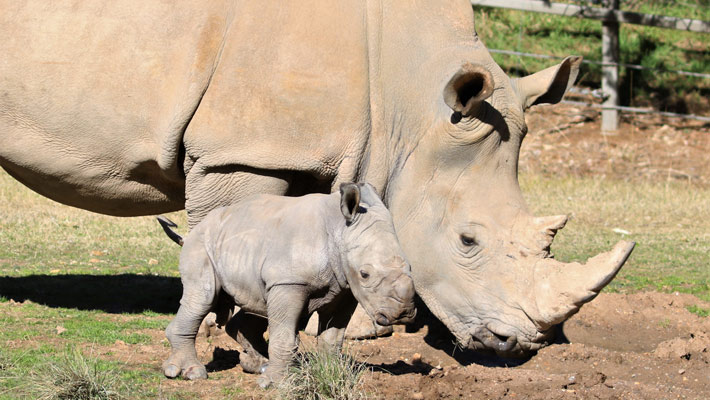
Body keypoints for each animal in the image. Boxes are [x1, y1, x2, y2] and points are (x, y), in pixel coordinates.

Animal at [0, 0, 634, 356]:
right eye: (467, 241)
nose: (520, 345)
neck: (409, 99)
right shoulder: (246, 150)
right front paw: (233, 332)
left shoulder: (316, 148)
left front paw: (346, 333)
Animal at [161, 183, 415, 386]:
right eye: (365, 274)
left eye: (411, 267)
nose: (403, 313)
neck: (339, 229)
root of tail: (193, 231)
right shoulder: (288, 282)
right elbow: (284, 335)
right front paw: (276, 383)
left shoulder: (344, 288)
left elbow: (333, 336)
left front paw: (332, 374)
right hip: (201, 244)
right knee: (203, 298)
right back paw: (190, 373)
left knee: (255, 303)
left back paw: (259, 365)